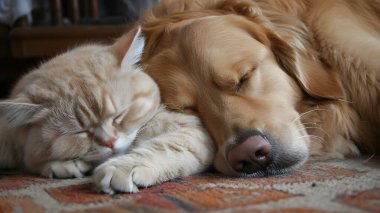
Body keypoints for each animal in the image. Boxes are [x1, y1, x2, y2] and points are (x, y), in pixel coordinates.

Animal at [0, 26, 214, 193]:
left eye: (119, 116)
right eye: (80, 132)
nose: (110, 142)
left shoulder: (192, 130)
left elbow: (164, 146)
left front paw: (122, 167)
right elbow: (31, 159)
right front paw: (62, 164)